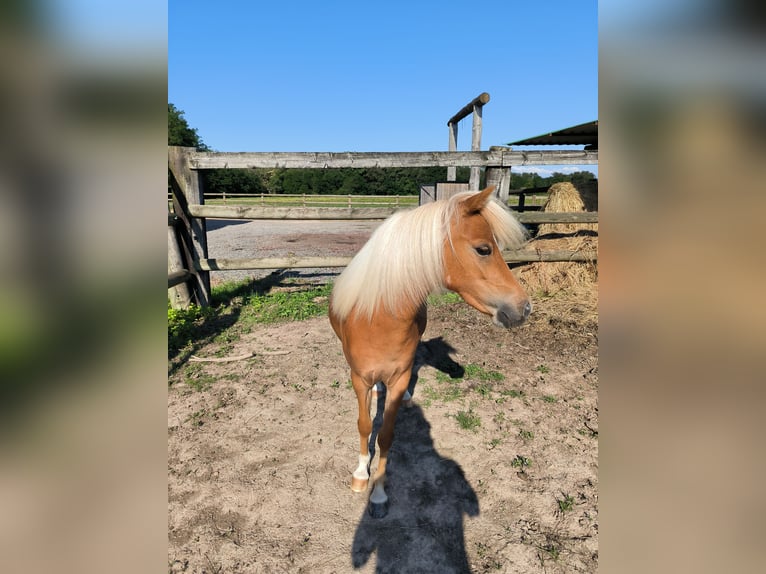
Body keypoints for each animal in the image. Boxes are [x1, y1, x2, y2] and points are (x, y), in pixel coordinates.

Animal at [330, 187, 536, 520]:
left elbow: (386, 434)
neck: (378, 318)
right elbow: (365, 426)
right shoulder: (358, 379)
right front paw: (361, 475)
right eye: (483, 249)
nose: (525, 308)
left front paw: (379, 494)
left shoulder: (399, 375)